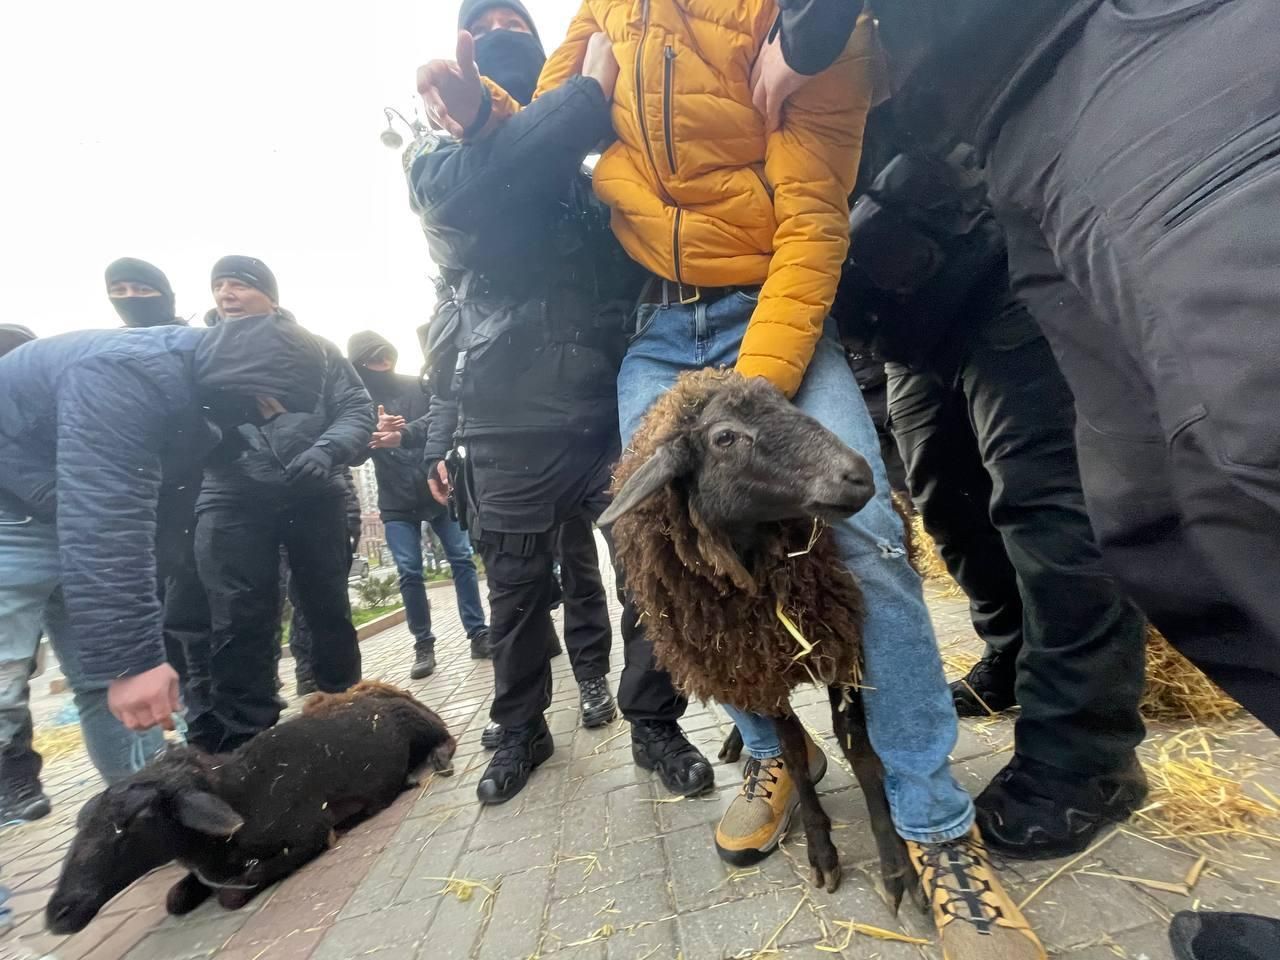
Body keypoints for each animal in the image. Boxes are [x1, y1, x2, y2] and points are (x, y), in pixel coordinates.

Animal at [46, 680, 455, 936]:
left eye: (132, 820)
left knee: (445, 734)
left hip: (418, 721)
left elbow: (235, 889)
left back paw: (432, 763)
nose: (57, 913)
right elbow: (174, 899)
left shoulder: (307, 832)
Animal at [601, 368, 916, 901]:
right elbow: (790, 752)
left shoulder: (841, 645)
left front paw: (895, 865)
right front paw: (822, 852)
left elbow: (858, 747)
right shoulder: (757, 668)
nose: (858, 474)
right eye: (725, 438)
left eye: (786, 402)